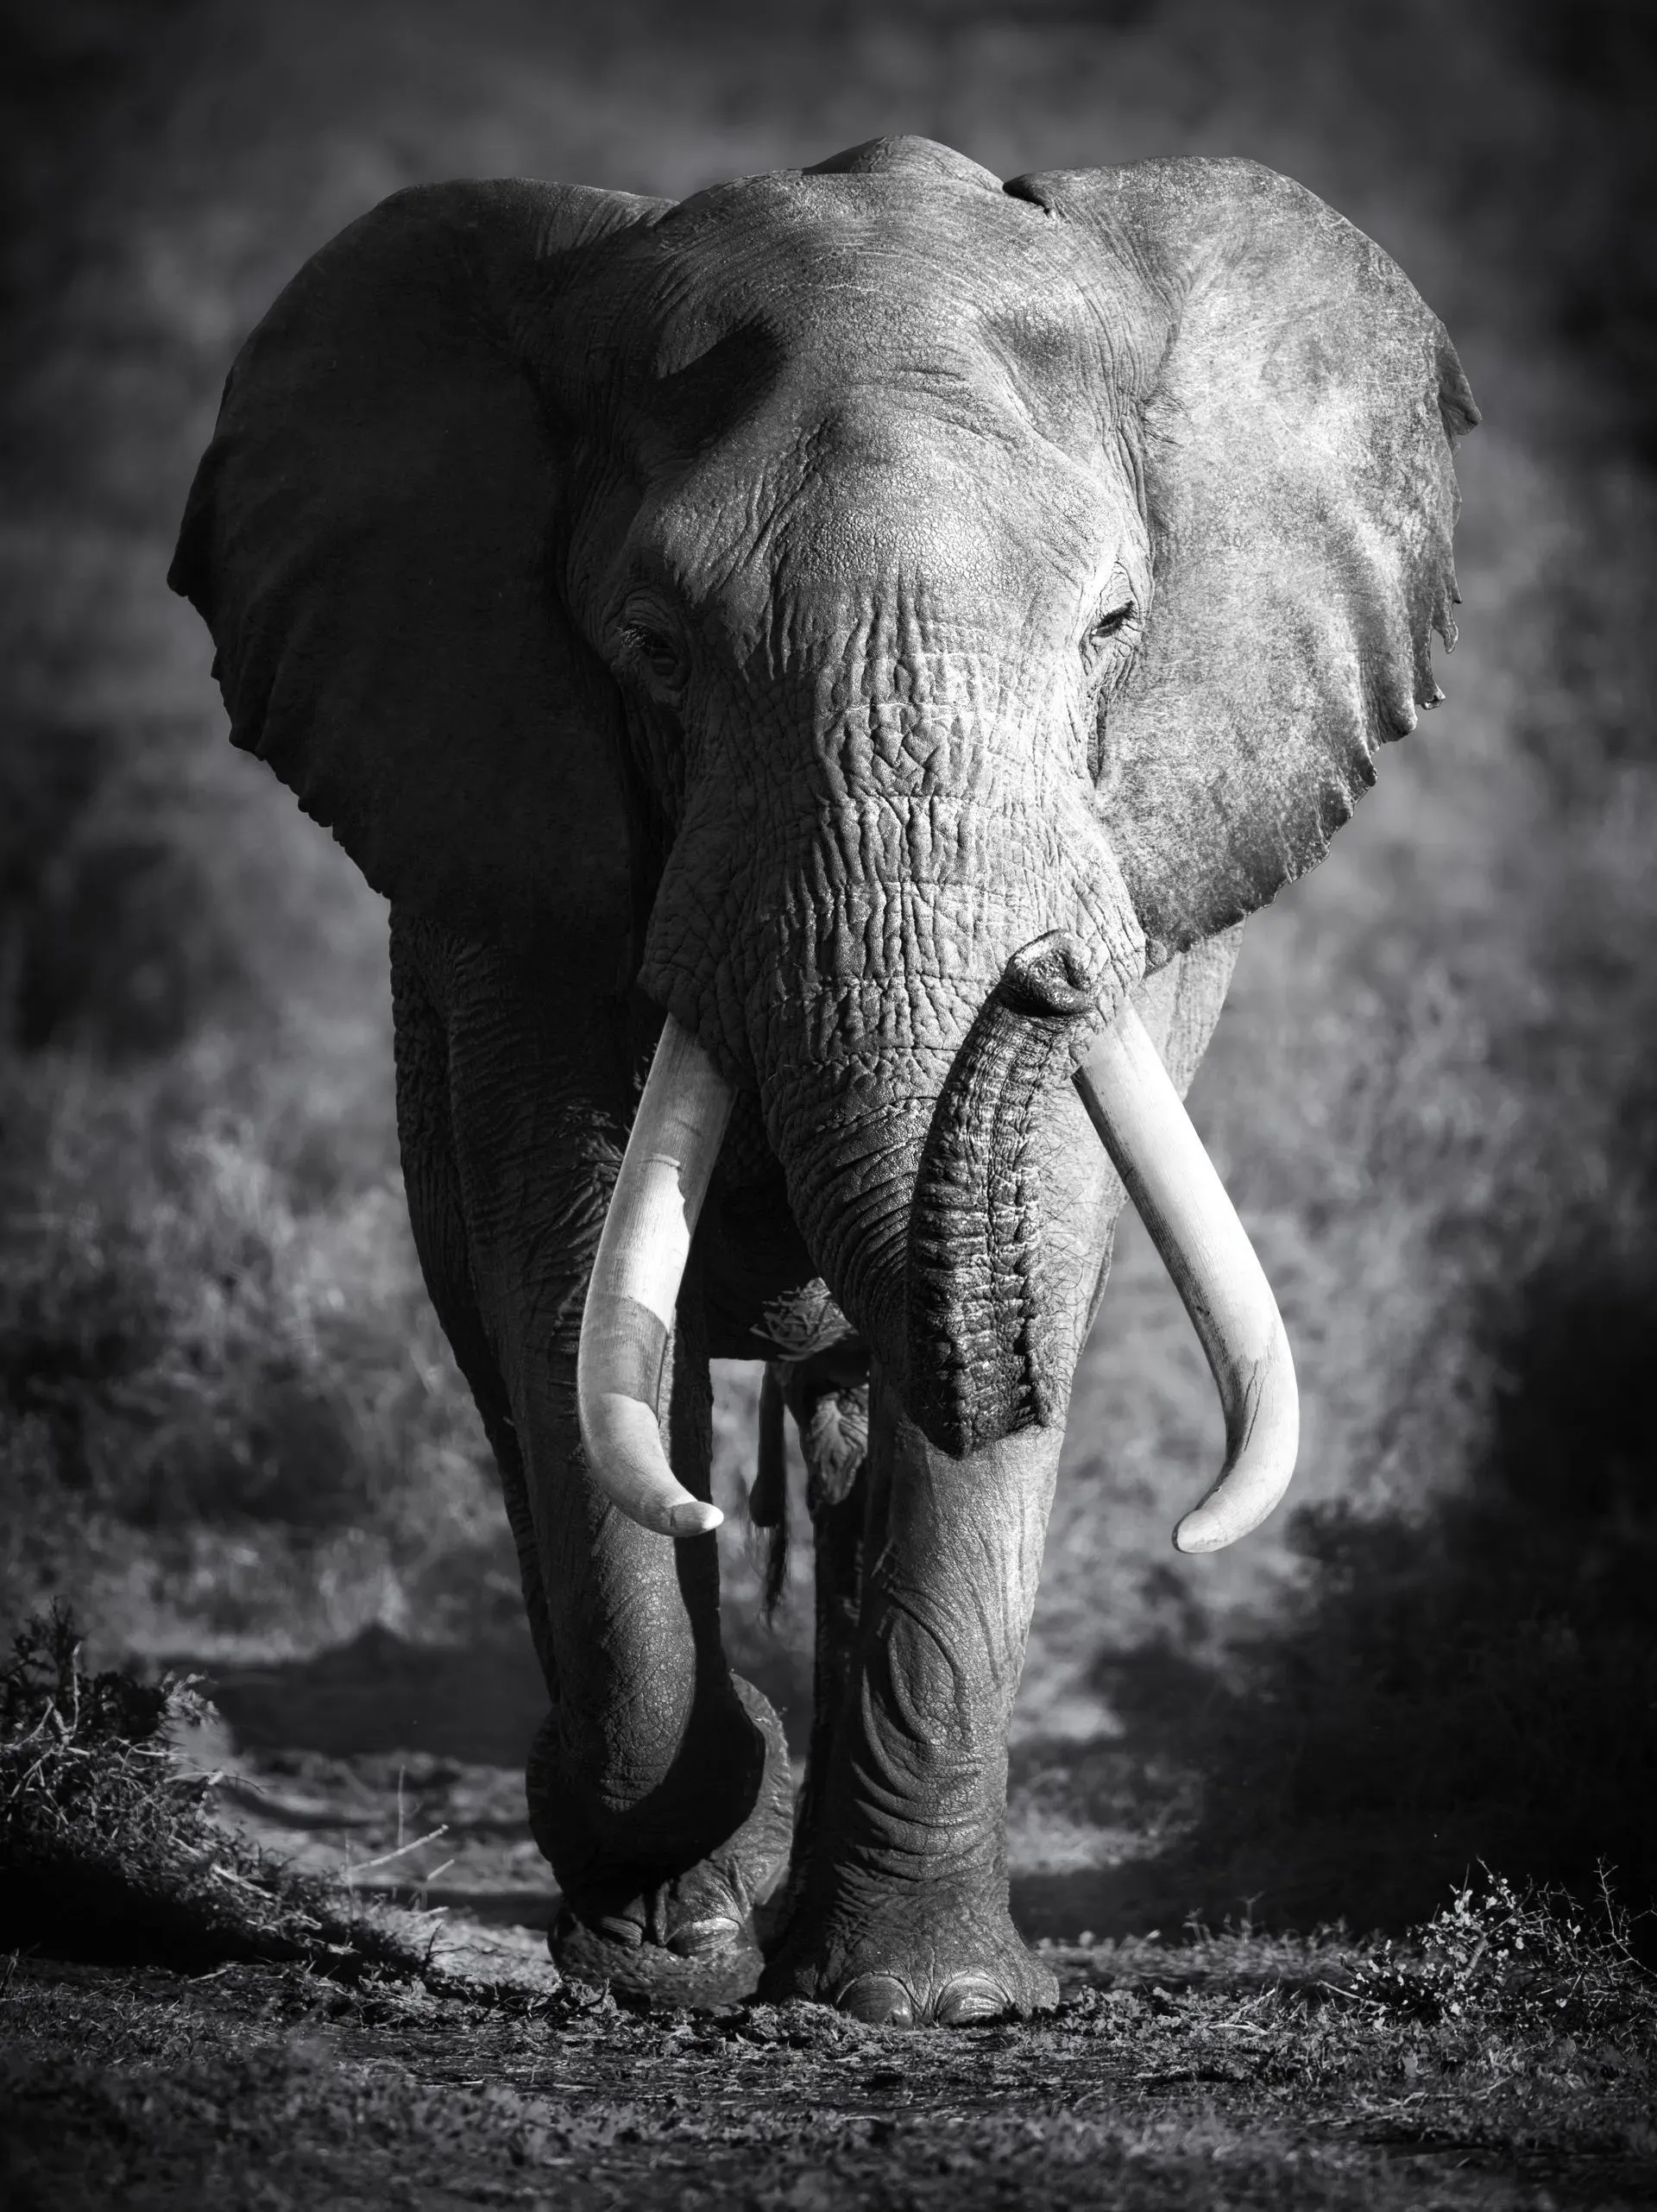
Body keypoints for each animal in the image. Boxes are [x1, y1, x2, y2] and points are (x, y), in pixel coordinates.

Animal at [170, 134, 1475, 2025]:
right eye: (653, 648)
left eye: (1115, 626)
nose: (1050, 970)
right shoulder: (509, 847)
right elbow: (563, 1263)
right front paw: (667, 1933)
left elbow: (1041, 1238)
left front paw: (932, 2002)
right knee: (511, 1357)